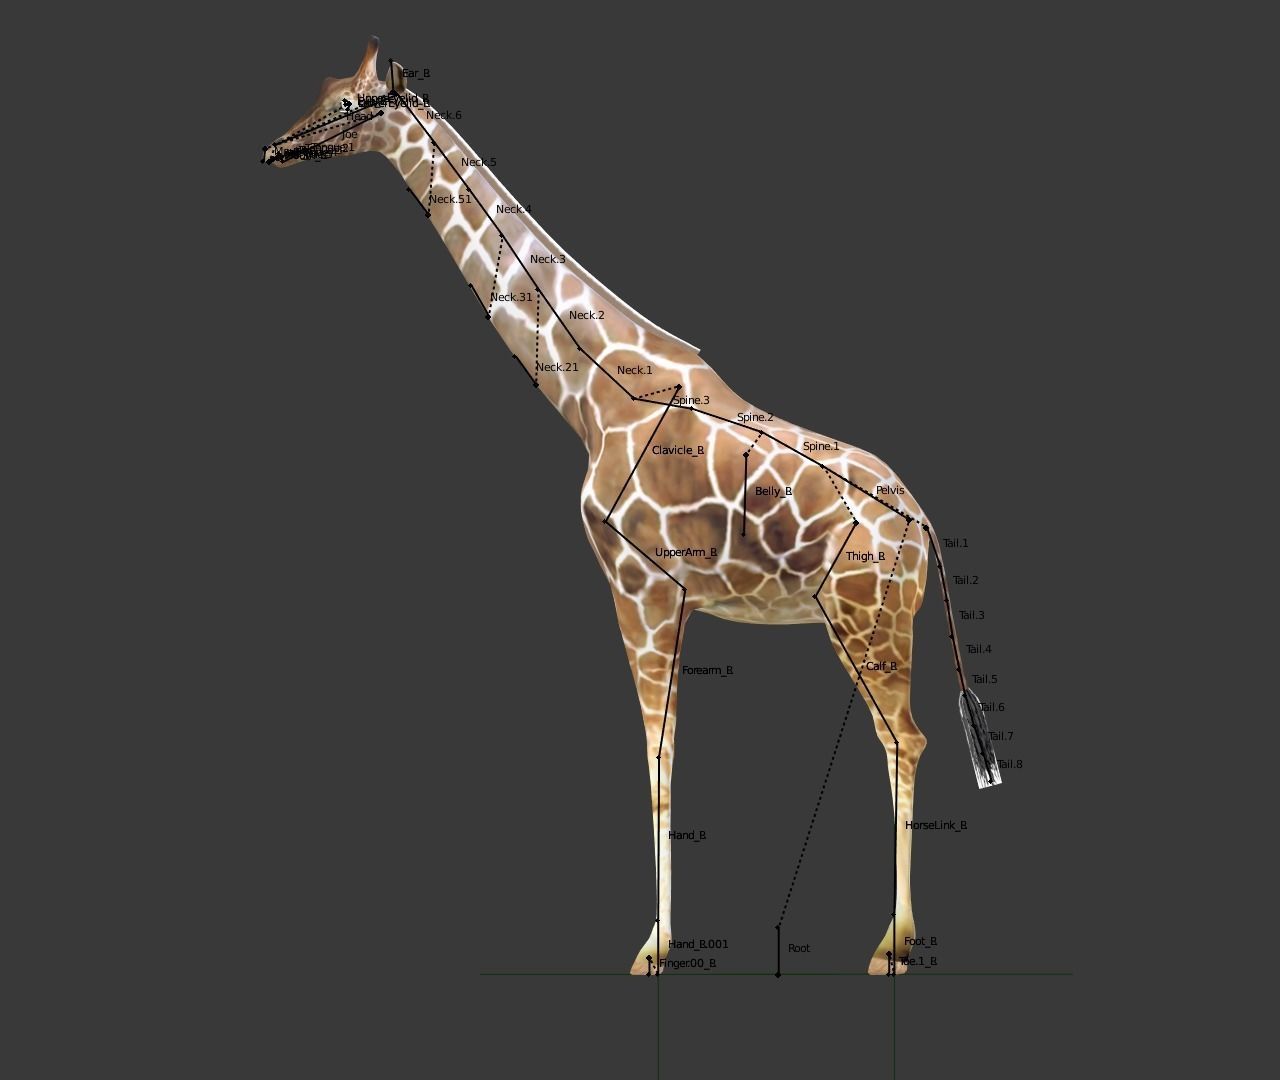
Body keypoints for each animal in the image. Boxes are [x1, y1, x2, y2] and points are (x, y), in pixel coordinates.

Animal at [264, 38, 1000, 976]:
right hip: (865, 621)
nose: (275, 147)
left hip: (866, 616)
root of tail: (926, 526)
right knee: (902, 737)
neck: (591, 389)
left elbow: (656, 757)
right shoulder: (670, 596)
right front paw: (661, 937)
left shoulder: (640, 586)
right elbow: (666, 757)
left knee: (905, 739)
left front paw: (653, 947)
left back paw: (892, 947)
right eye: (325, 93)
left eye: (352, 105)